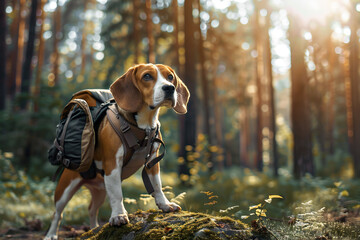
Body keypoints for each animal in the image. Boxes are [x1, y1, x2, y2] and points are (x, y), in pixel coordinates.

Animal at [44, 62, 190, 239]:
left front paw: (165, 204)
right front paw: (119, 215)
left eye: (170, 77)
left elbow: (157, 186)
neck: (143, 126)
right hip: (65, 189)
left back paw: (94, 229)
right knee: (57, 213)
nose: (169, 88)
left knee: (92, 209)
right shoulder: (112, 164)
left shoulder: (152, 162)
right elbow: (118, 195)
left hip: (100, 190)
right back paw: (51, 234)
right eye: (147, 76)